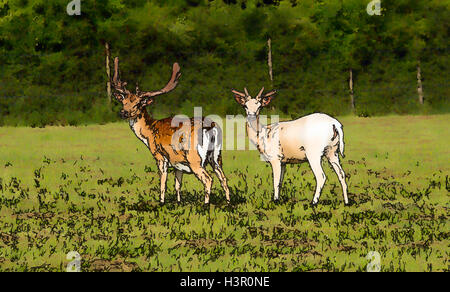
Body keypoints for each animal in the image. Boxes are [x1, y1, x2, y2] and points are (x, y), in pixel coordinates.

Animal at [112, 56, 230, 203]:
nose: (123, 112)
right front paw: (178, 202)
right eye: (123, 102)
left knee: (208, 179)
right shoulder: (177, 162)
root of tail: (211, 127)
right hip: (216, 156)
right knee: (224, 179)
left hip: (195, 158)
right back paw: (228, 203)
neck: (149, 132)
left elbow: (163, 183)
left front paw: (161, 202)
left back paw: (206, 204)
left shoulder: (160, 156)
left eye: (138, 103)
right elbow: (177, 185)